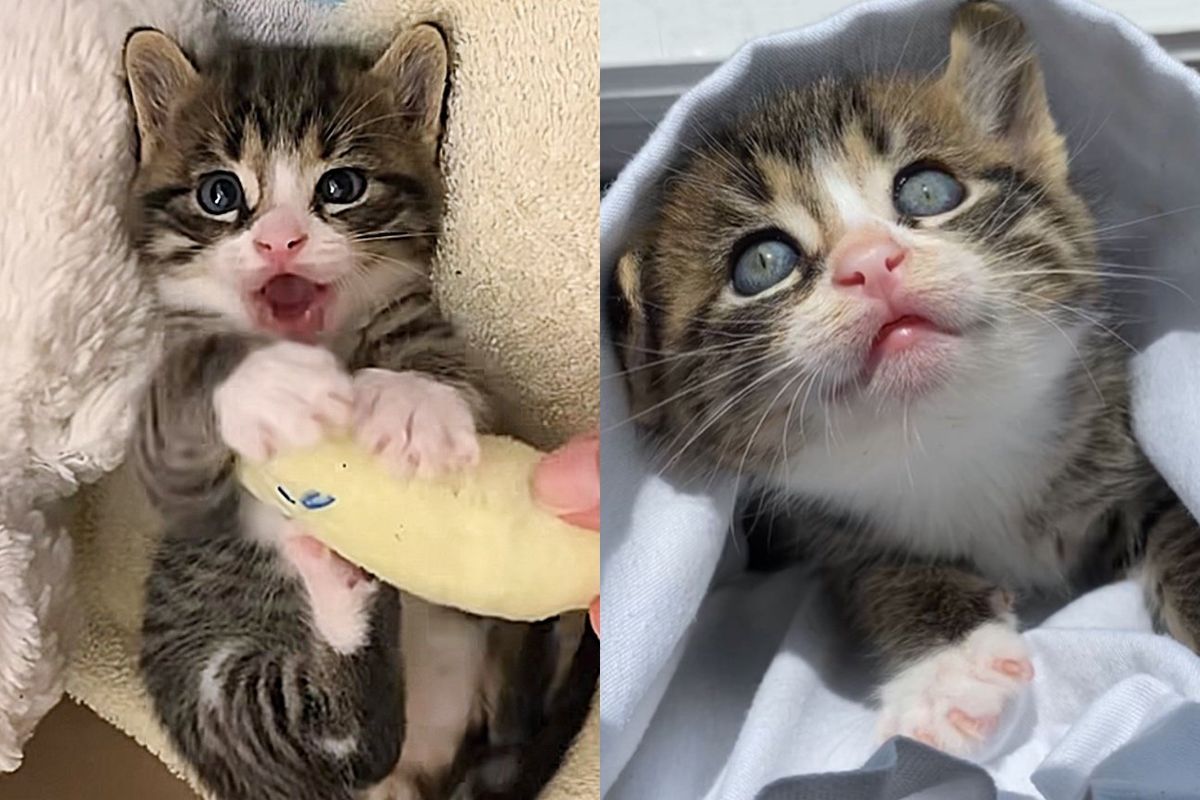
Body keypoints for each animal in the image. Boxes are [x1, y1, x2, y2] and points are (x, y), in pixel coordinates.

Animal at [125, 25, 595, 800]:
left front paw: (413, 404)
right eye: (220, 194)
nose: (279, 239)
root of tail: (420, 772)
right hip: (213, 697)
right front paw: (261, 383)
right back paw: (347, 599)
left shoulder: (442, 348)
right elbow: (179, 434)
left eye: (340, 187)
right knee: (330, 741)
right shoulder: (178, 488)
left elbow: (463, 394)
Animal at [614, 0, 1195, 762]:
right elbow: (877, 572)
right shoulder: (818, 530)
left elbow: (1175, 521)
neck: (952, 436)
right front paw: (951, 668)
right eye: (762, 263)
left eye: (927, 190)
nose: (870, 261)